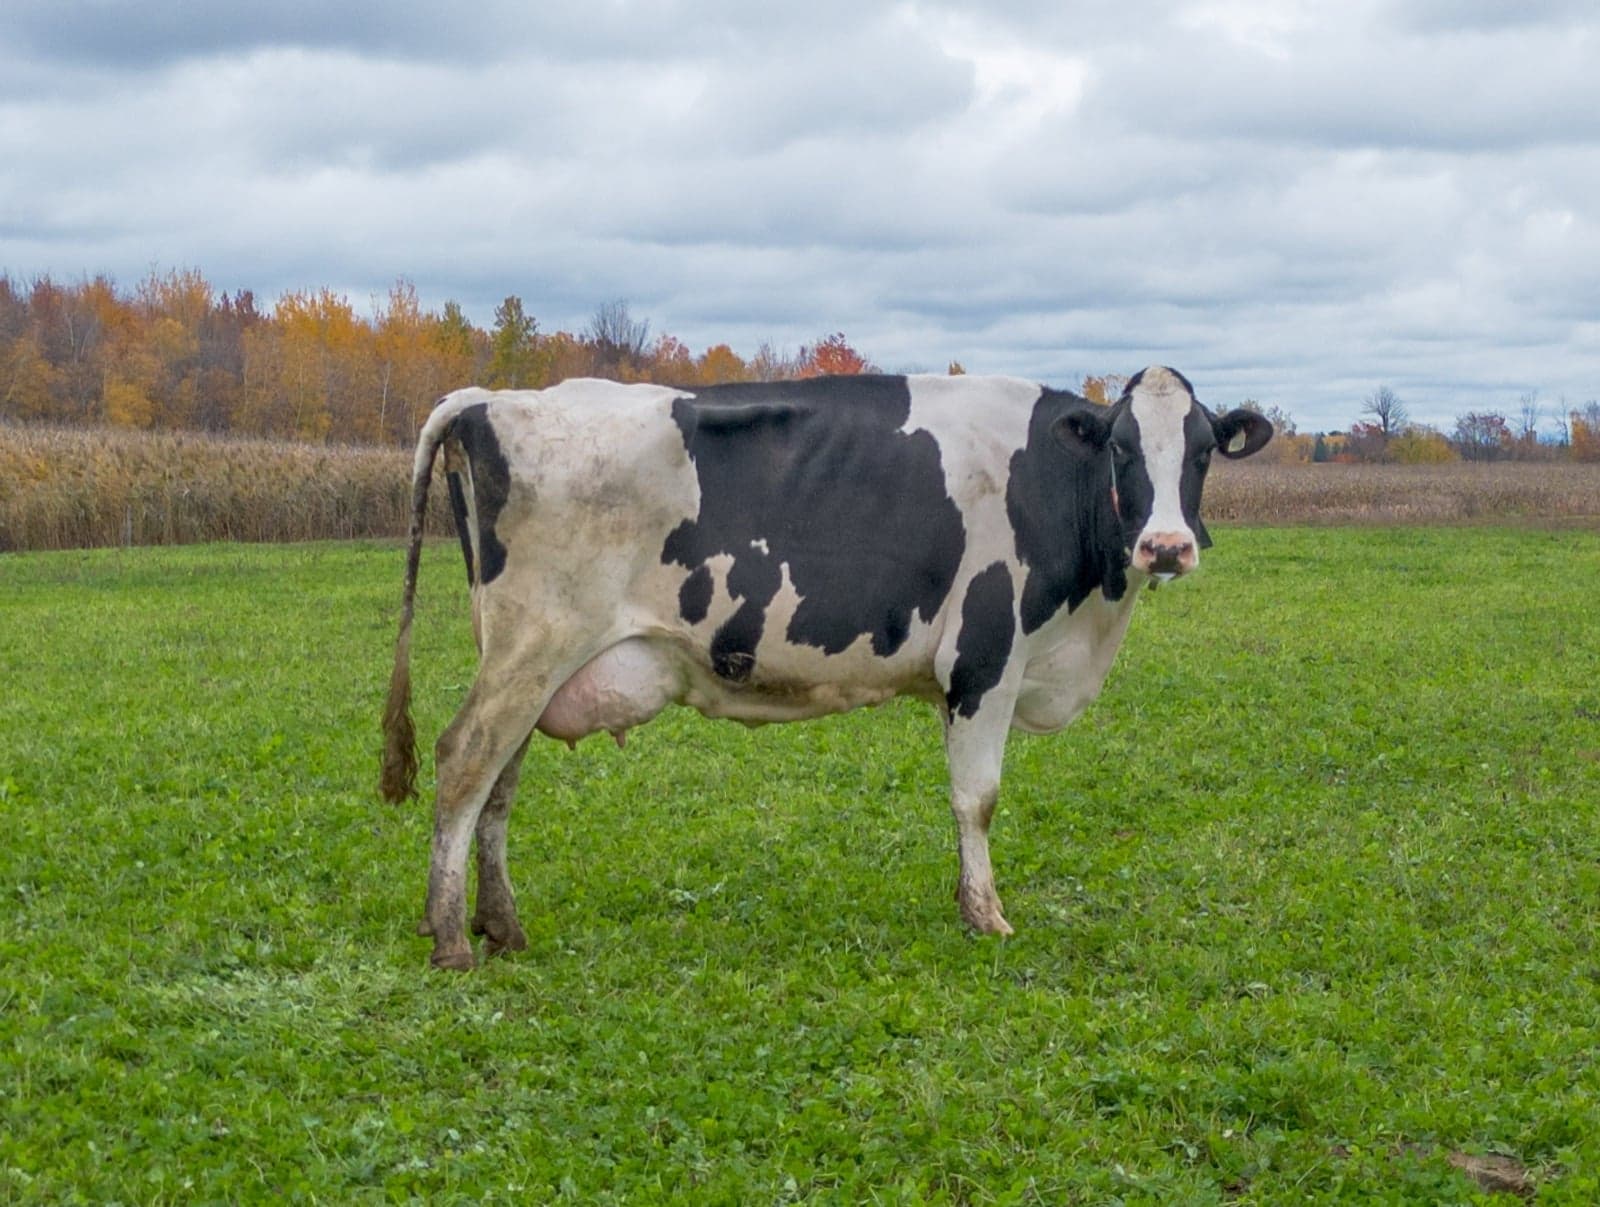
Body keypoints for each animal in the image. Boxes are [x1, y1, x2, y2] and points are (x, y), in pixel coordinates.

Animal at [379, 366, 1271, 970]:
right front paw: (985, 914)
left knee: (497, 782)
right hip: (537, 641)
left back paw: (501, 925)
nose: (1166, 545)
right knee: (466, 759)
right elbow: (977, 798)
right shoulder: (986, 657)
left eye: (1201, 452)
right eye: (1122, 448)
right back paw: (453, 937)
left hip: (528, 655)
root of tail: (493, 398)